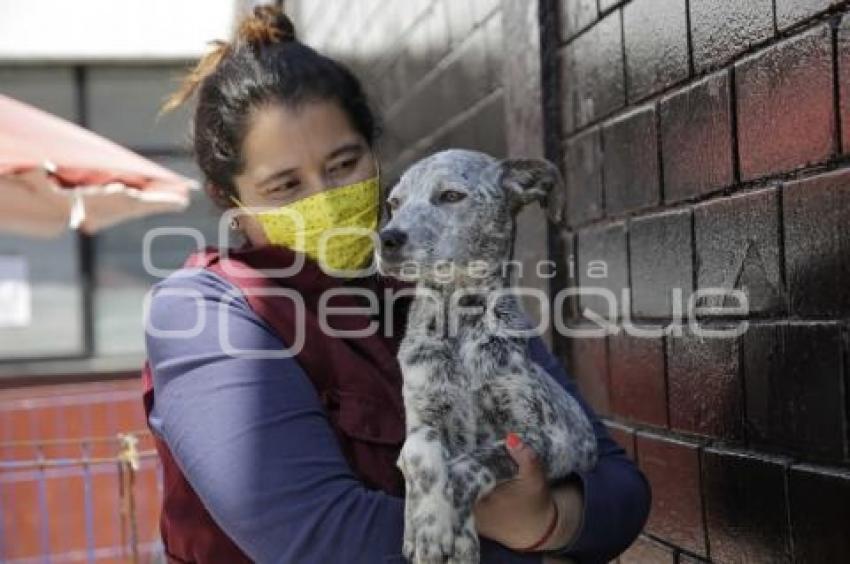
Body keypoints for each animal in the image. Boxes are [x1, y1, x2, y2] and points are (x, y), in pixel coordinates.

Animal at [374, 150, 600, 564]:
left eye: (451, 195)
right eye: (394, 204)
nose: (387, 239)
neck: (460, 319)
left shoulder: (542, 439)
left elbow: (471, 464)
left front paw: (446, 530)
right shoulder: (422, 415)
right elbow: (419, 451)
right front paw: (426, 522)